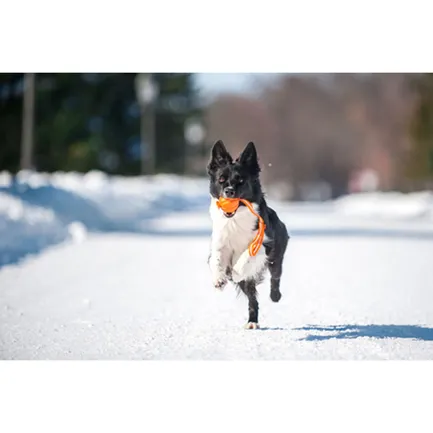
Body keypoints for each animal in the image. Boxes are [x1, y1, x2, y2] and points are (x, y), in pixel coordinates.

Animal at [205, 140, 286, 330]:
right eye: (221, 180)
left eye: (241, 181)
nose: (229, 191)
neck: (236, 219)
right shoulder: (219, 243)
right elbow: (216, 259)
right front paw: (219, 279)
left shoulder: (264, 243)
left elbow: (247, 257)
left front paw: (235, 272)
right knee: (252, 298)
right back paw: (252, 322)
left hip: (277, 256)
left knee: (275, 276)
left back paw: (274, 297)